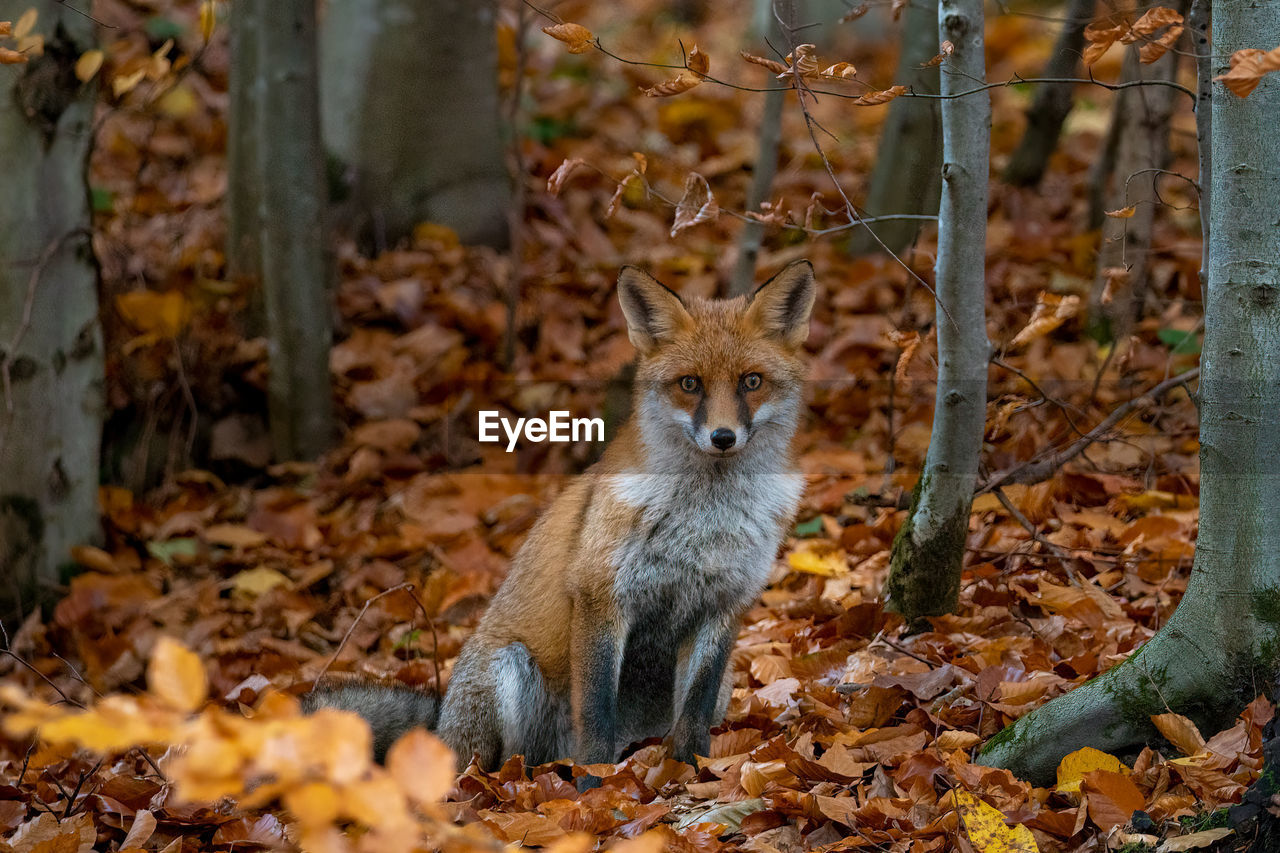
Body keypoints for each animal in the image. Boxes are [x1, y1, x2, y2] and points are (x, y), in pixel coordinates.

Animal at [304, 257, 814, 778]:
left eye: (751, 381)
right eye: (690, 384)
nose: (723, 437)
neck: (707, 516)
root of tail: (441, 724)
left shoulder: (724, 606)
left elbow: (693, 715)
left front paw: (694, 774)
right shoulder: (599, 595)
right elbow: (596, 714)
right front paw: (596, 787)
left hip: (721, 681)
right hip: (508, 671)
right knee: (498, 767)